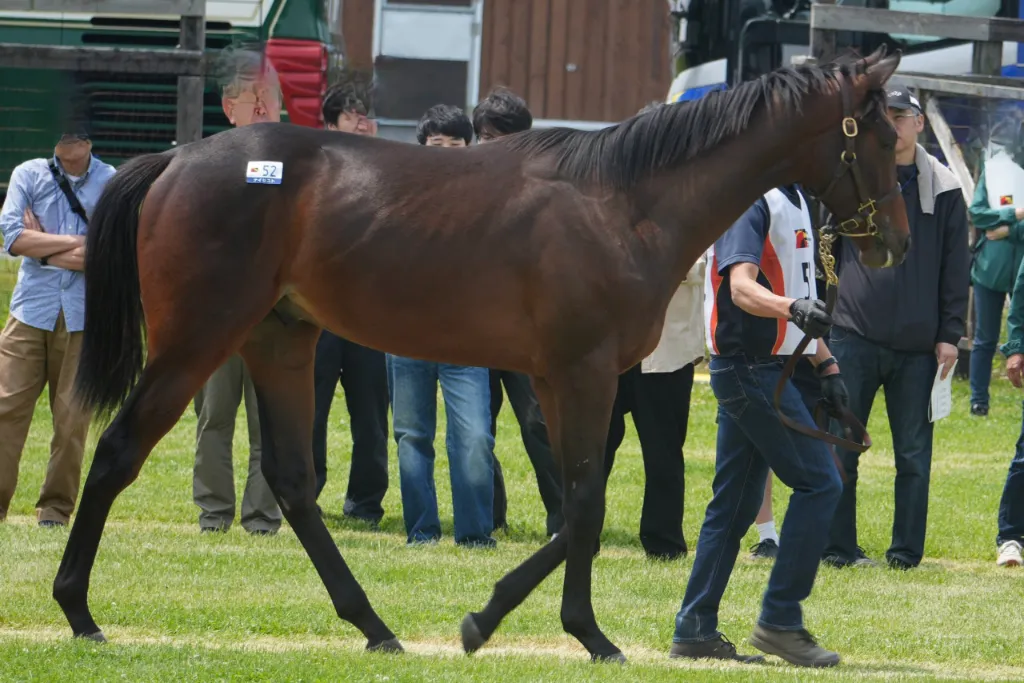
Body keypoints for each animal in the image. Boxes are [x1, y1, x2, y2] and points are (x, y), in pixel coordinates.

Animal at [53, 45, 909, 662]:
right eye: (877, 137)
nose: (896, 241)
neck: (625, 202)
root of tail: (177, 159)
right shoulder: (583, 372)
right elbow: (586, 504)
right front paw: (539, 626)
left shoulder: (556, 381)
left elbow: (578, 501)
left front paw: (530, 621)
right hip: (197, 341)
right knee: (118, 450)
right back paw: (78, 608)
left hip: (281, 338)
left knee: (294, 484)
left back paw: (374, 625)